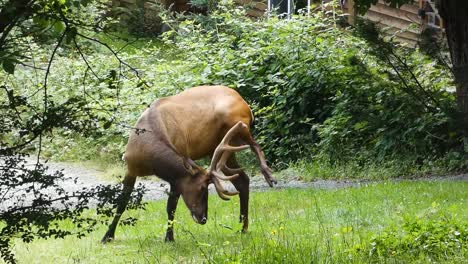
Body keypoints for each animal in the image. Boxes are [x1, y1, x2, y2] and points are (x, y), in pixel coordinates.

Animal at [101, 85, 276, 242]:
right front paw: (107, 236)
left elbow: (170, 207)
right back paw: (243, 227)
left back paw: (268, 175)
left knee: (256, 146)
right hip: (219, 147)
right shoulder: (131, 168)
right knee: (242, 178)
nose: (204, 218)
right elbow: (122, 203)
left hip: (236, 123)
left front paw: (169, 237)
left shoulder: (176, 178)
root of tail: (245, 104)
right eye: (202, 188)